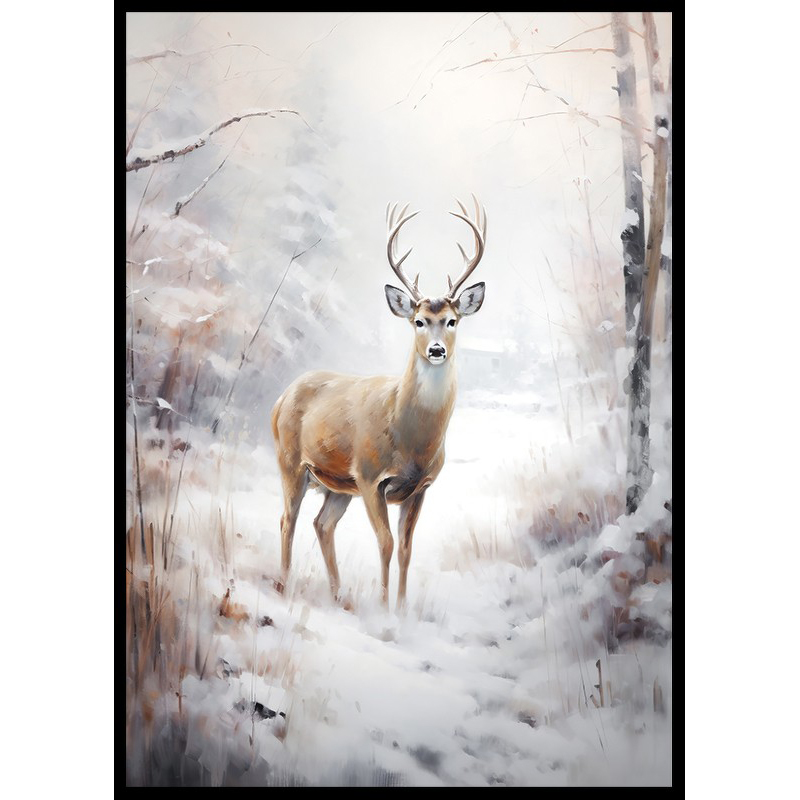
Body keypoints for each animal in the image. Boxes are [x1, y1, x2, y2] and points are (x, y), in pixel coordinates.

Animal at [270, 197, 487, 610]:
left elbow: (405, 549)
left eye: (452, 320)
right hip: (292, 461)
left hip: (338, 485)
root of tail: (282, 395)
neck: (411, 438)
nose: (437, 350)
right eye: (419, 321)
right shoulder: (371, 477)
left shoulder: (420, 487)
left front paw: (400, 609)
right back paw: (283, 585)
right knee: (288, 519)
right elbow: (385, 544)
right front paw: (384, 608)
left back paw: (339, 595)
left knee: (321, 523)